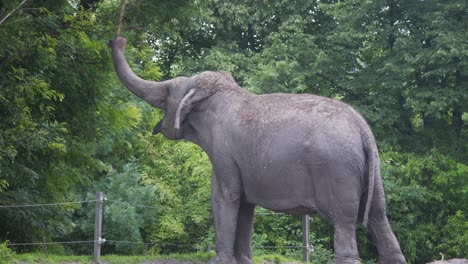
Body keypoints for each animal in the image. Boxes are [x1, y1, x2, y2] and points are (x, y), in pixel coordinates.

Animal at [109, 36, 406, 264]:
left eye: (167, 93)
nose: (117, 40)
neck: (225, 94)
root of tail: (363, 129)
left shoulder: (224, 152)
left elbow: (225, 197)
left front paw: (220, 261)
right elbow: (245, 205)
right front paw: (242, 260)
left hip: (336, 170)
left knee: (343, 223)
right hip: (371, 172)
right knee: (380, 217)